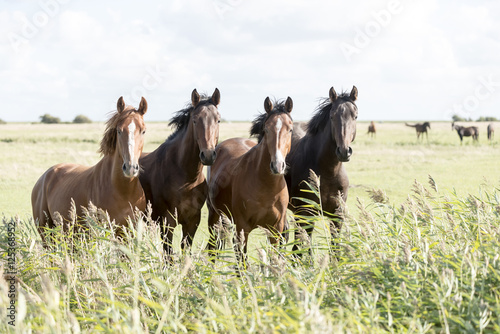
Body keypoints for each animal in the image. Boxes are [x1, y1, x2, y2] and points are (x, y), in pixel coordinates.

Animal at [31, 96, 146, 240]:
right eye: (119, 130)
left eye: (143, 131)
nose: (130, 168)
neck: (124, 192)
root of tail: (43, 178)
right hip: (47, 233)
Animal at [139, 87, 221, 258]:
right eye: (195, 120)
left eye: (218, 120)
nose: (208, 155)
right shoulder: (167, 222)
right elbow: (169, 255)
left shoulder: (192, 221)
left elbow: (185, 251)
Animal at [206, 96, 292, 266]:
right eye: (266, 130)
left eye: (290, 130)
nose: (277, 165)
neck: (266, 187)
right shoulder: (242, 229)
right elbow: (243, 262)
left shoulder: (275, 230)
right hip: (214, 216)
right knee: (213, 247)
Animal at [284, 85, 358, 253]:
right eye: (332, 116)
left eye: (355, 116)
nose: (344, 151)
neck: (329, 172)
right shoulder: (306, 213)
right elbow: (299, 249)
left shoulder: (337, 216)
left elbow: (335, 250)